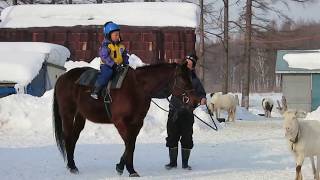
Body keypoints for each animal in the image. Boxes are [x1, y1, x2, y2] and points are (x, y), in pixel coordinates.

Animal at [52, 62, 200, 176]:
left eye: (190, 77)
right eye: (182, 78)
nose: (195, 100)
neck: (137, 88)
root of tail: (63, 77)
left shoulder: (137, 123)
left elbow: (131, 144)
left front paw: (122, 167)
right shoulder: (120, 122)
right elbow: (129, 144)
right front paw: (129, 169)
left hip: (80, 116)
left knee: (73, 138)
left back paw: (72, 165)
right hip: (68, 114)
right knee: (68, 137)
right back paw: (71, 166)